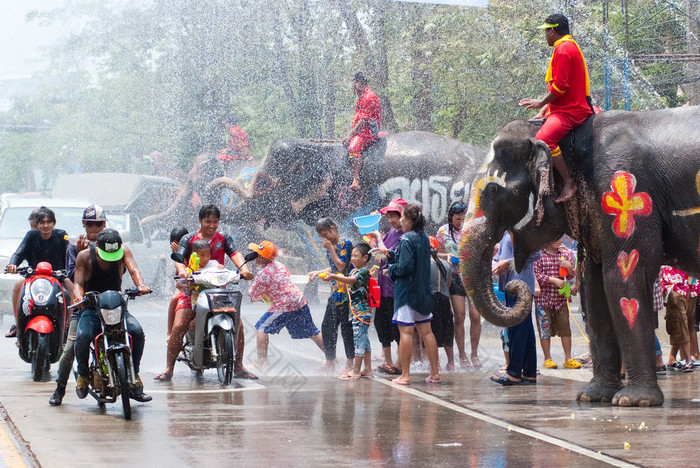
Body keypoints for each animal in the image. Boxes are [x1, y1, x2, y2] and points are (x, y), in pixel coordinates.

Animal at [456, 108, 700, 408]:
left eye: (494, 191)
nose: (513, 285)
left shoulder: (626, 199)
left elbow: (625, 278)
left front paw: (633, 401)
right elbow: (595, 288)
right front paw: (592, 396)